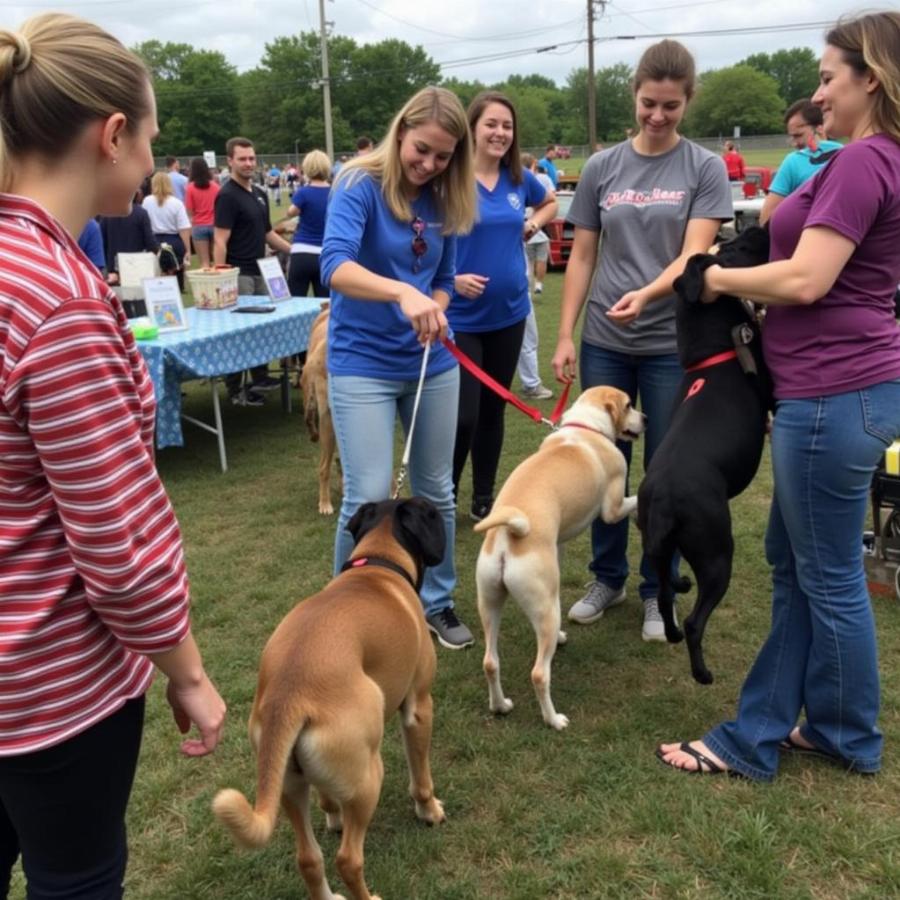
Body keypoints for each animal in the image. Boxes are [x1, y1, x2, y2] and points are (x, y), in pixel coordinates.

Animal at [214, 500, 446, 900]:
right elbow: (421, 777)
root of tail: (288, 696)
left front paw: (332, 814)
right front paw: (429, 811)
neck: (378, 563)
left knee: (308, 859)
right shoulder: (418, 706)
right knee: (348, 860)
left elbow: (326, 801)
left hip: (288, 786)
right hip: (369, 777)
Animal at [472, 386, 648, 732]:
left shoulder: (561, 541)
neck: (586, 428)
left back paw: (500, 705)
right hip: (546, 605)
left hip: (491, 601)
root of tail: (507, 535)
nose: (645, 418)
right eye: (629, 405)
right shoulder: (612, 507)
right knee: (540, 673)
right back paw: (554, 720)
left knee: (490, 662)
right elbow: (633, 500)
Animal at [632, 225, 772, 684]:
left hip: (658, 548)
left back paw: (672, 630)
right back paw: (702, 673)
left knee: (663, 593)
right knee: (696, 621)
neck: (712, 352)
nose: (753, 225)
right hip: (717, 554)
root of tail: (664, 501)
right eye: (737, 247)